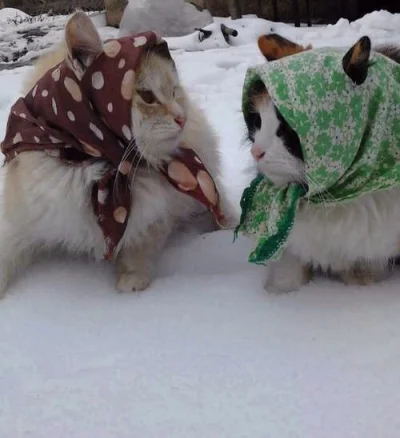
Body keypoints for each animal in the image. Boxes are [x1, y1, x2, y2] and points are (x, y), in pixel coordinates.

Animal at [0, 12, 228, 298]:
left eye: (174, 92)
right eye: (147, 96)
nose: (181, 117)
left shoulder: (160, 212)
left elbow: (140, 244)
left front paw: (132, 278)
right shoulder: (19, 220)